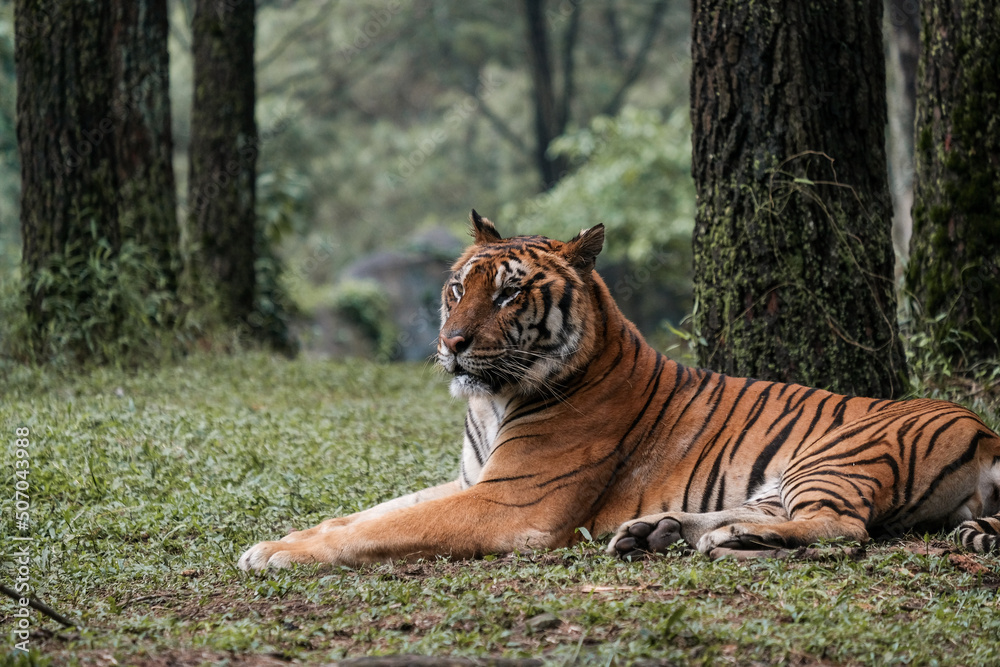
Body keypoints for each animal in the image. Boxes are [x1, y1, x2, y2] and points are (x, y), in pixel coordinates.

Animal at [238, 211, 1000, 570]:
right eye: (459, 287)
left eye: (509, 293)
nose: (451, 342)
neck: (492, 399)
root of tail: (986, 426)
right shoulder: (469, 481)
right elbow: (367, 513)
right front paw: (281, 538)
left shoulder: (509, 502)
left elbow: (390, 527)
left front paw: (277, 553)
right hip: (785, 478)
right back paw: (666, 532)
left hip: (834, 454)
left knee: (845, 528)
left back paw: (717, 537)